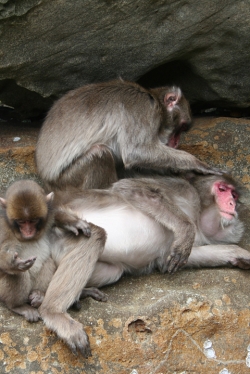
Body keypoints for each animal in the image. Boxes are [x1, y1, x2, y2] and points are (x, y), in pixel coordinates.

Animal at [35, 78, 221, 190]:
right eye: (181, 128)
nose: (175, 143)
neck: (154, 99)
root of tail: (44, 180)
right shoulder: (143, 109)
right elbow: (136, 152)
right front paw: (197, 163)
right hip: (67, 181)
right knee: (100, 153)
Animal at [37, 172, 250, 356]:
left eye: (234, 194)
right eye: (222, 189)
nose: (232, 204)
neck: (198, 214)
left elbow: (167, 260)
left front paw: (237, 253)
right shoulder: (182, 188)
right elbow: (131, 188)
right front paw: (185, 228)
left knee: (114, 270)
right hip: (59, 233)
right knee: (95, 235)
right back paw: (53, 312)